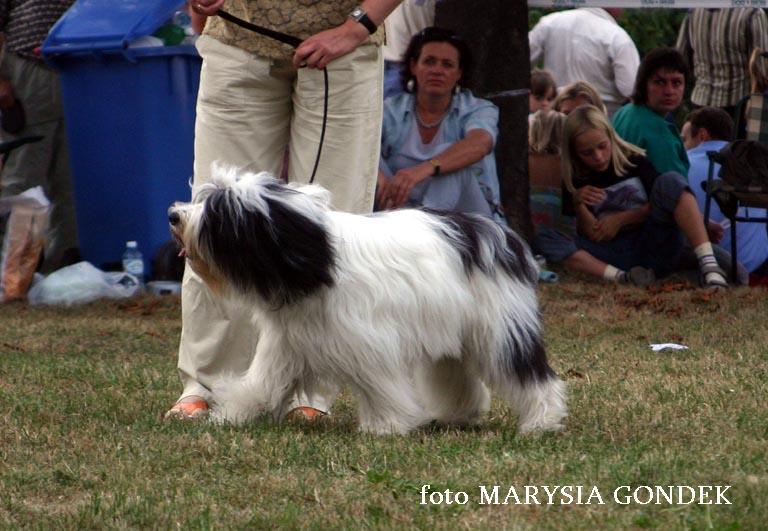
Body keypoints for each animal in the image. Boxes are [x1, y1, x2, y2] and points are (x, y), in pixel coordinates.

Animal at [170, 167, 564, 436]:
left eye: (220, 213)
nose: (174, 216)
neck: (317, 262)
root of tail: (501, 234)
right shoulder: (287, 343)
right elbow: (261, 383)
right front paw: (233, 413)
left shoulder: (370, 341)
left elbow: (380, 384)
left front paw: (386, 426)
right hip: (454, 331)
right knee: (456, 374)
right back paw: (457, 414)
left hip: (501, 327)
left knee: (530, 375)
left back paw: (543, 420)